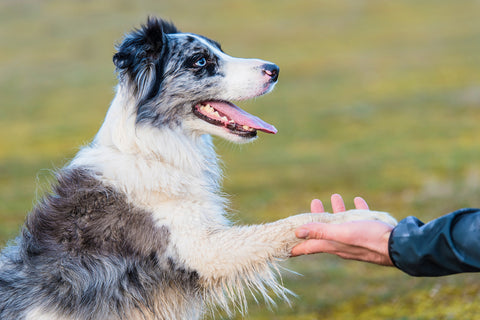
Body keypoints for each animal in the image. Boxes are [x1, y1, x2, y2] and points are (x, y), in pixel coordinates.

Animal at [0, 17, 398, 320]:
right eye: (200, 62)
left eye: (219, 50)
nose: (275, 70)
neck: (154, 149)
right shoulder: (200, 250)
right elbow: (292, 221)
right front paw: (364, 220)